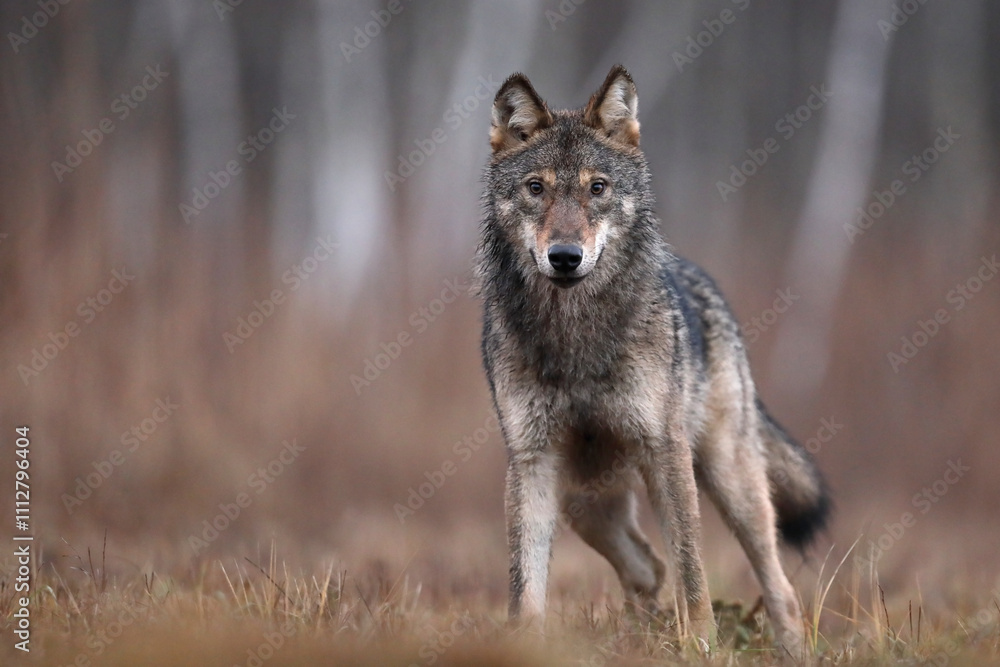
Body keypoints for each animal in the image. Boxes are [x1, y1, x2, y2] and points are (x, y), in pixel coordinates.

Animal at [476, 65, 830, 658]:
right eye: (536, 188)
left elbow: (693, 574)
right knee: (647, 566)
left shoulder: (665, 452)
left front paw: (702, 647)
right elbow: (525, 588)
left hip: (729, 482)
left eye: (597, 188)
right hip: (584, 502)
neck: (577, 336)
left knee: (776, 585)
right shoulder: (532, 461)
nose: (565, 257)